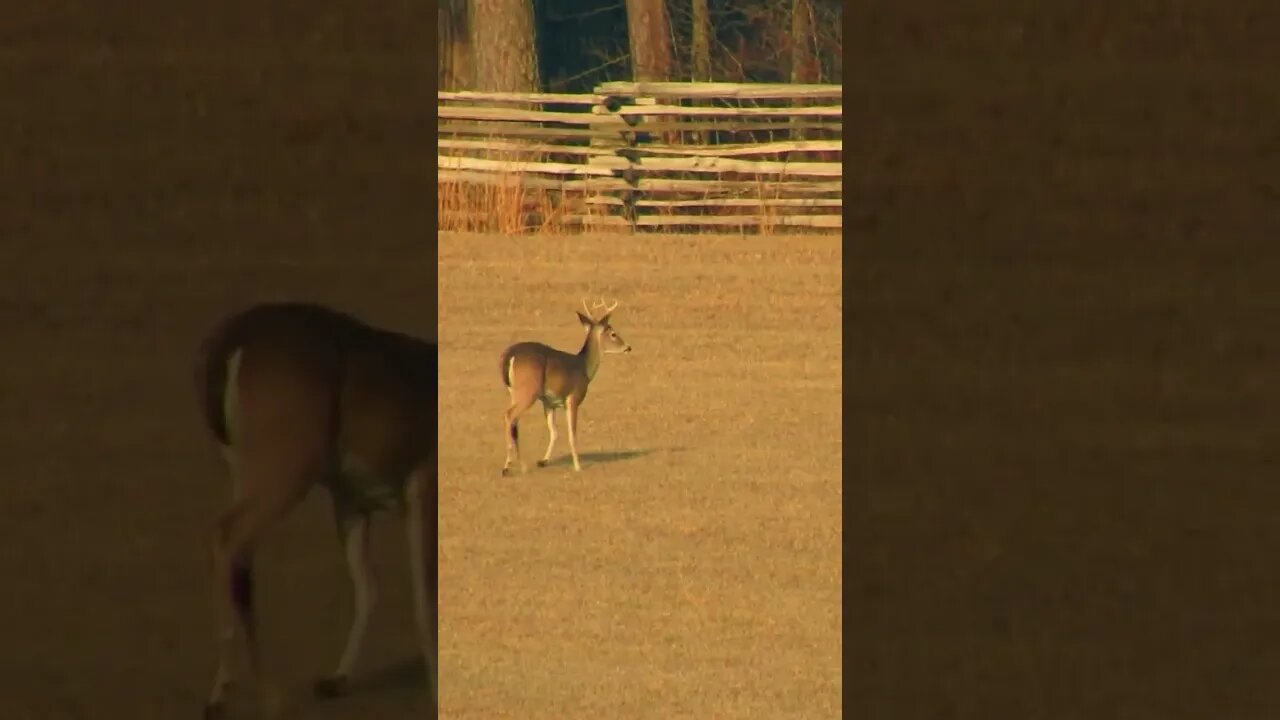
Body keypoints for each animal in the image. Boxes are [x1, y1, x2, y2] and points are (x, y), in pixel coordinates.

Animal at [194, 301, 437, 720]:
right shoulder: (422, 485)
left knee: (241, 560)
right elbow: (425, 603)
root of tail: (232, 343)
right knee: (225, 537)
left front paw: (336, 679)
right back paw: (231, 695)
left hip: (245, 466)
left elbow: (367, 587)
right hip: (288, 461)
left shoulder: (352, 498)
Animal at [499, 299, 632, 476]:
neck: (584, 367)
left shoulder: (549, 402)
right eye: (613, 334)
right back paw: (511, 466)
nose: (628, 347)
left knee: (514, 423)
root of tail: (510, 356)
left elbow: (554, 432)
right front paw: (578, 466)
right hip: (528, 391)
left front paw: (543, 461)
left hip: (514, 392)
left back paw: (519, 465)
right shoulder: (573, 398)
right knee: (509, 416)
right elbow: (572, 434)